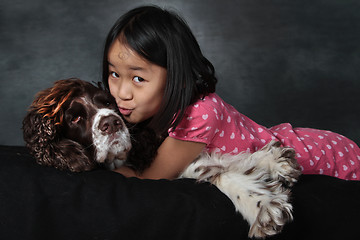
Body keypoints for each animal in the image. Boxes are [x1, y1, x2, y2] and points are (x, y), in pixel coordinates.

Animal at [21, 79, 300, 238]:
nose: (112, 123)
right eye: (76, 118)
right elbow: (214, 171)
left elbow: (217, 165)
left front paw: (272, 163)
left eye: (108, 102)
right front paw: (262, 204)